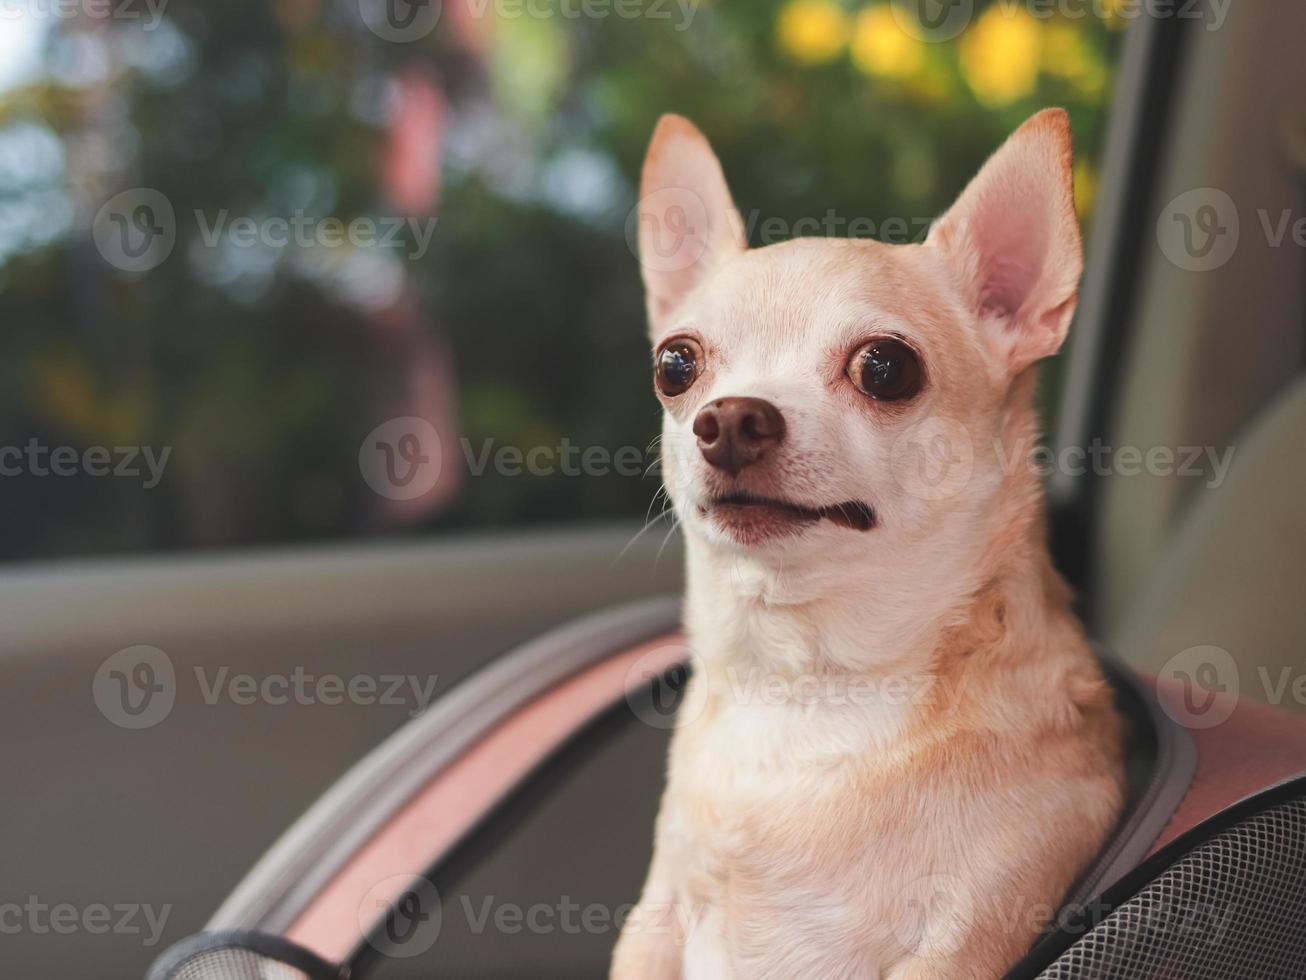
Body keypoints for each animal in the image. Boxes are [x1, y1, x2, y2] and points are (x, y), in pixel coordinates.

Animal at [613, 111, 1133, 977]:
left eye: (885, 367)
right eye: (674, 364)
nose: (730, 419)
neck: (808, 686)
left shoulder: (964, 937)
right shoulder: (656, 916)